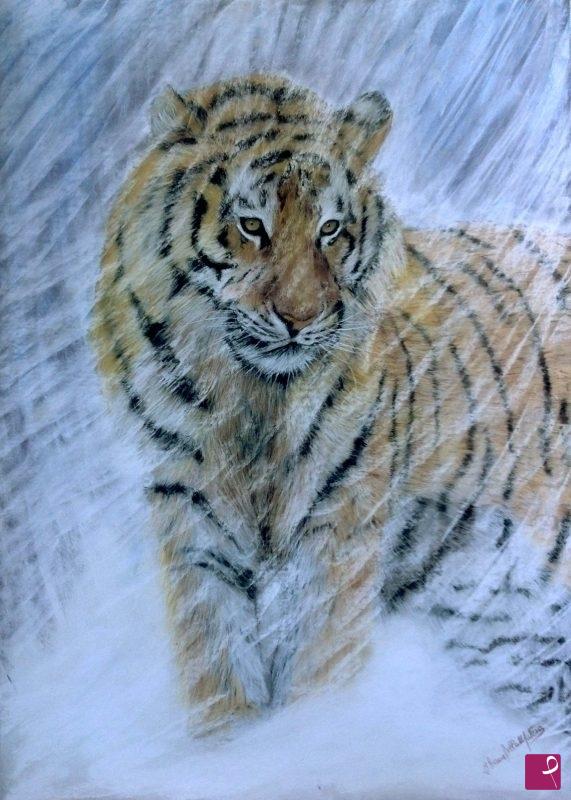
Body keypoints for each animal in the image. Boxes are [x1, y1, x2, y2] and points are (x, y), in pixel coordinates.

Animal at [91, 73, 571, 738]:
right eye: (251, 225)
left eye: (330, 229)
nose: (298, 319)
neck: (253, 403)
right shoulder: (190, 519)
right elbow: (216, 672)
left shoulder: (337, 532)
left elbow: (318, 675)